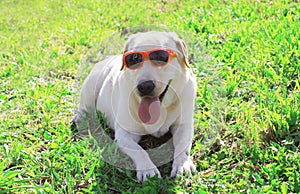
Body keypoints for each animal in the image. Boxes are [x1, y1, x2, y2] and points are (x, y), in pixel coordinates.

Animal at [73, 30, 197, 182]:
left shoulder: (183, 125)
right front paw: (147, 169)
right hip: (91, 88)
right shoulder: (125, 134)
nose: (145, 86)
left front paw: (182, 164)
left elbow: (182, 144)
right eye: (133, 59)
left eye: (161, 57)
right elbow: (139, 151)